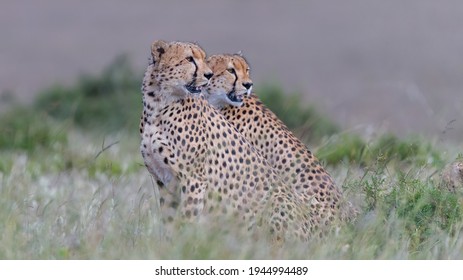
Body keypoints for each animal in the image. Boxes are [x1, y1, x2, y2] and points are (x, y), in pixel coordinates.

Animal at [140, 40, 316, 243]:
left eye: (203, 59)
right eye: (189, 59)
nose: (208, 74)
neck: (158, 105)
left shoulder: (193, 179)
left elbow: (187, 219)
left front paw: (184, 244)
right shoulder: (164, 180)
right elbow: (169, 222)